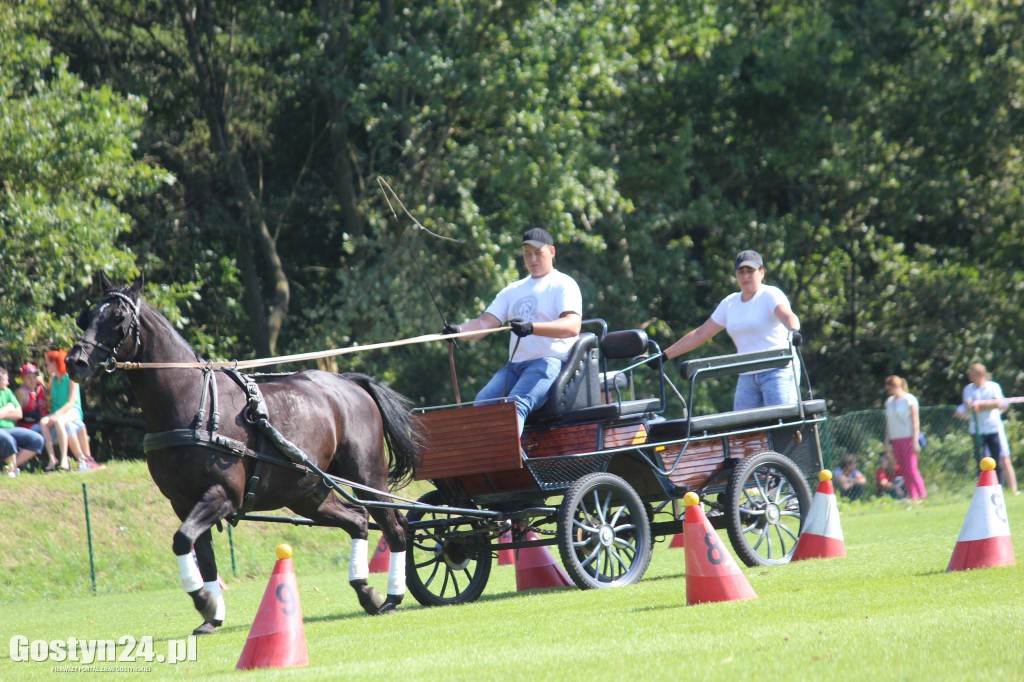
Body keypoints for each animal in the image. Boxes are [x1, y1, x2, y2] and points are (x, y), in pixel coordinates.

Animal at [69, 274, 419, 634]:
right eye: (86, 316)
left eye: (118, 319)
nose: (75, 362)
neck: (189, 403)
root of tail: (350, 383)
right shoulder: (183, 503)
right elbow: (201, 555)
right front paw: (211, 614)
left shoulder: (223, 495)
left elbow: (182, 540)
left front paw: (204, 602)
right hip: (307, 494)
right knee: (358, 521)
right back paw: (366, 591)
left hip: (367, 476)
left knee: (396, 528)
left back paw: (392, 597)